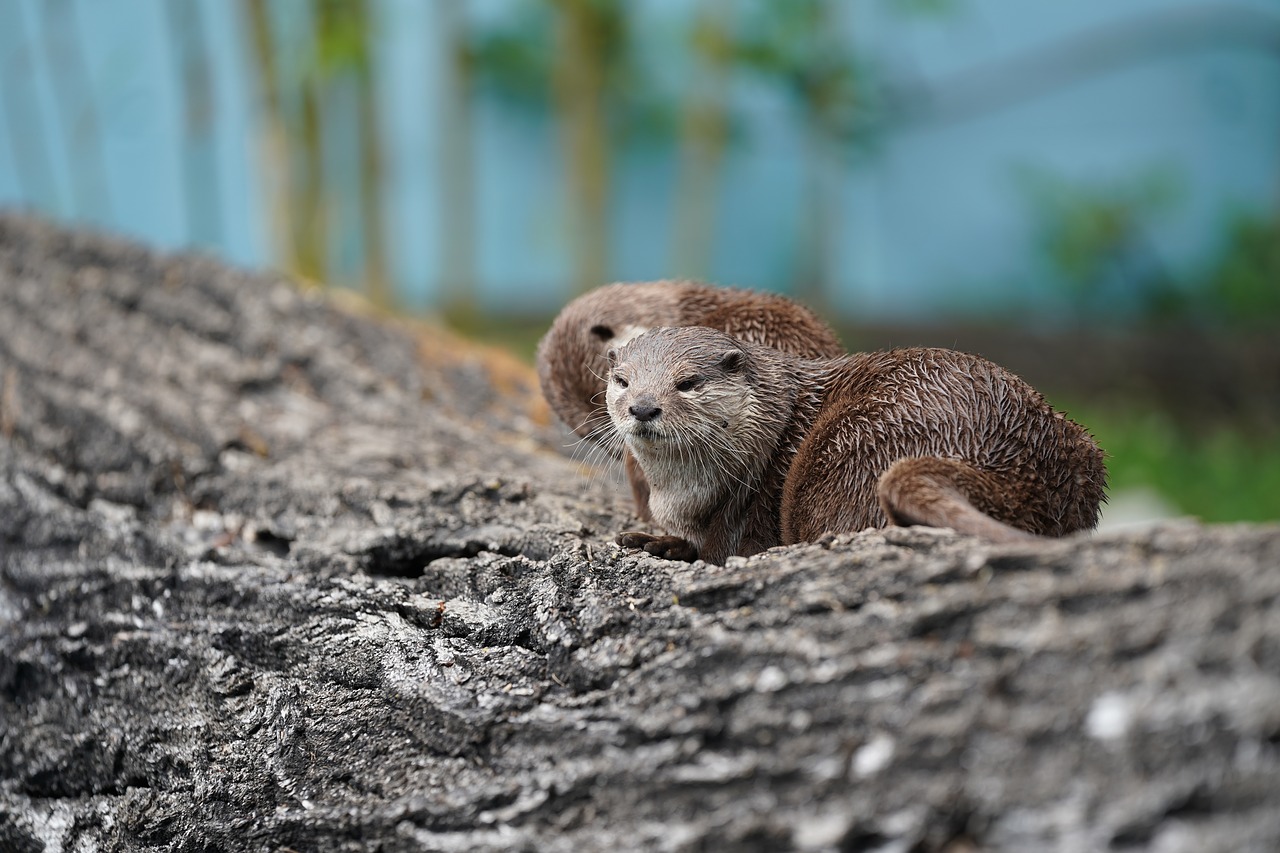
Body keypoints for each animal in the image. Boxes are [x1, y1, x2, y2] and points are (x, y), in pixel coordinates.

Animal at [604, 324, 1105, 558]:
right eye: (622, 380)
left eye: (687, 382)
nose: (643, 407)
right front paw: (654, 542)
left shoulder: (743, 515)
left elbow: (720, 555)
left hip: (852, 445)